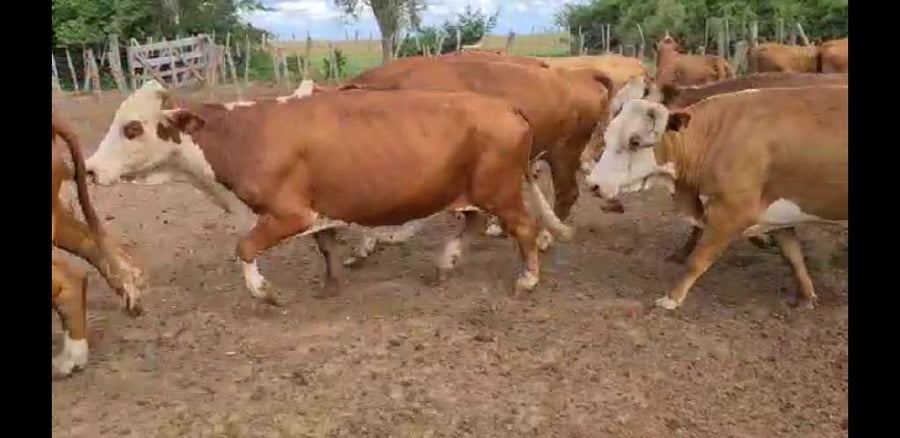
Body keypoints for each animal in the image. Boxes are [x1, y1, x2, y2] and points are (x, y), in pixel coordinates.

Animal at [85, 81, 573, 304]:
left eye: (132, 128)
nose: (89, 169)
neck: (242, 136)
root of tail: (504, 105)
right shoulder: (317, 212)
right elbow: (325, 246)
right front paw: (332, 283)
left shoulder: (289, 214)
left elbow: (245, 248)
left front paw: (264, 291)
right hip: (472, 190)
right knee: (472, 221)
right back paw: (445, 263)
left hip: (501, 192)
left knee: (524, 229)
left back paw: (527, 279)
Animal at [585, 86, 848, 310]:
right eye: (607, 137)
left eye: (635, 141)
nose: (593, 184)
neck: (715, 137)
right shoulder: (777, 212)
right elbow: (793, 256)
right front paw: (806, 297)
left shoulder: (731, 213)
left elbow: (697, 259)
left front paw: (672, 298)